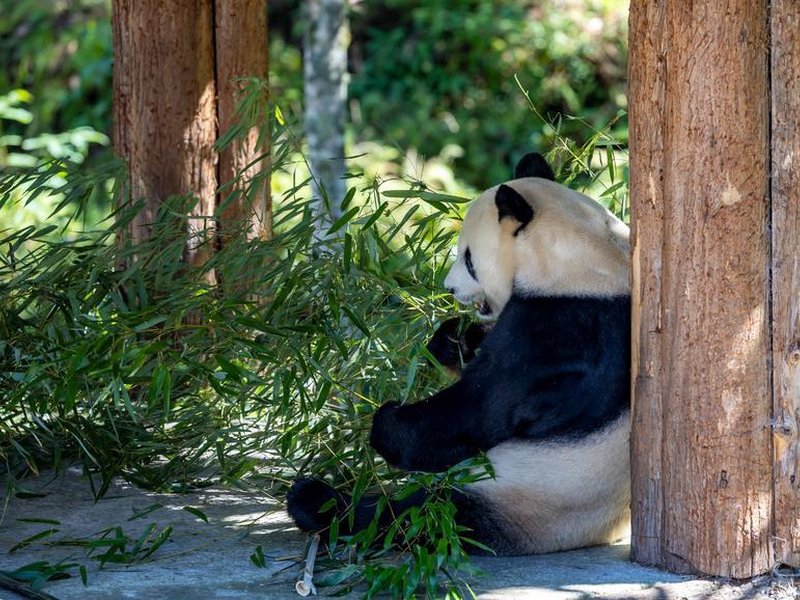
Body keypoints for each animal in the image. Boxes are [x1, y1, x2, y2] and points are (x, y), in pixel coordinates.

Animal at [287, 152, 631, 555]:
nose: (449, 289)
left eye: (468, 260)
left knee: (417, 515)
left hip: (523, 495)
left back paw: (316, 501)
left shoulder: (559, 332)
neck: (583, 257)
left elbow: (476, 410)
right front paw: (449, 340)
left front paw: (388, 419)